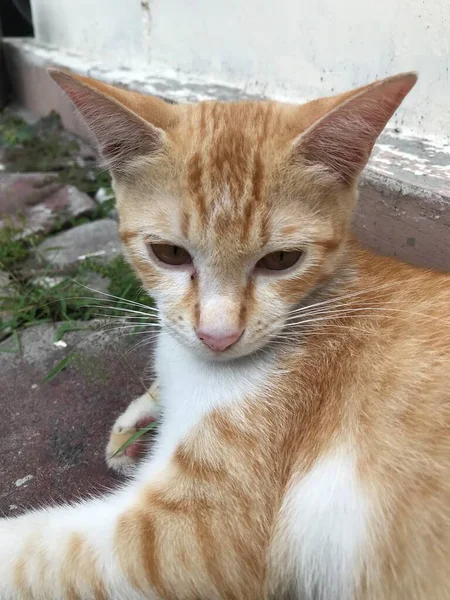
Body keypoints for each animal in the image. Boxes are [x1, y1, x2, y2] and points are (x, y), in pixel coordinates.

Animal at [0, 65, 448, 600]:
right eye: (169, 254)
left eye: (282, 260)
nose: (218, 335)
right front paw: (142, 420)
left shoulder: (189, 537)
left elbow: (38, 550)